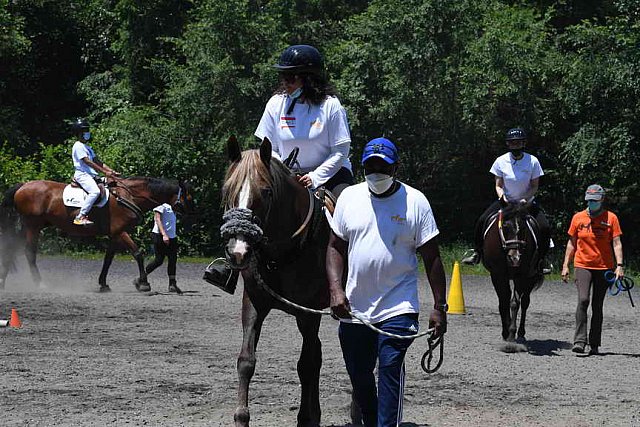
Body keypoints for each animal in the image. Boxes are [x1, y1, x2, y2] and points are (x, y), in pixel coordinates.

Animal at [0, 176, 195, 292]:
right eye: (189, 197)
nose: (193, 215)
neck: (129, 196)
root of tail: (23, 185)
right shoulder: (120, 231)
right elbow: (138, 253)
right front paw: (144, 283)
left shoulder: (114, 235)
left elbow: (108, 259)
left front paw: (103, 283)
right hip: (33, 226)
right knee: (29, 252)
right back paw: (39, 283)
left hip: (28, 226)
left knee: (12, 248)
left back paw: (3, 281)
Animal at [221, 137, 330, 427]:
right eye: (228, 189)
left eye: (267, 192)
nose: (239, 251)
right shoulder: (254, 304)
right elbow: (246, 361)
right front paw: (241, 417)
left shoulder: (308, 314)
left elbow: (306, 364)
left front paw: (305, 417)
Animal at [480, 203, 544, 352]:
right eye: (505, 226)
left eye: (523, 228)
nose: (515, 258)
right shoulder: (497, 275)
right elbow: (503, 301)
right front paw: (505, 332)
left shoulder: (521, 276)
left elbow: (515, 303)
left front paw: (511, 336)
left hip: (531, 277)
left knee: (525, 303)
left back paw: (520, 334)